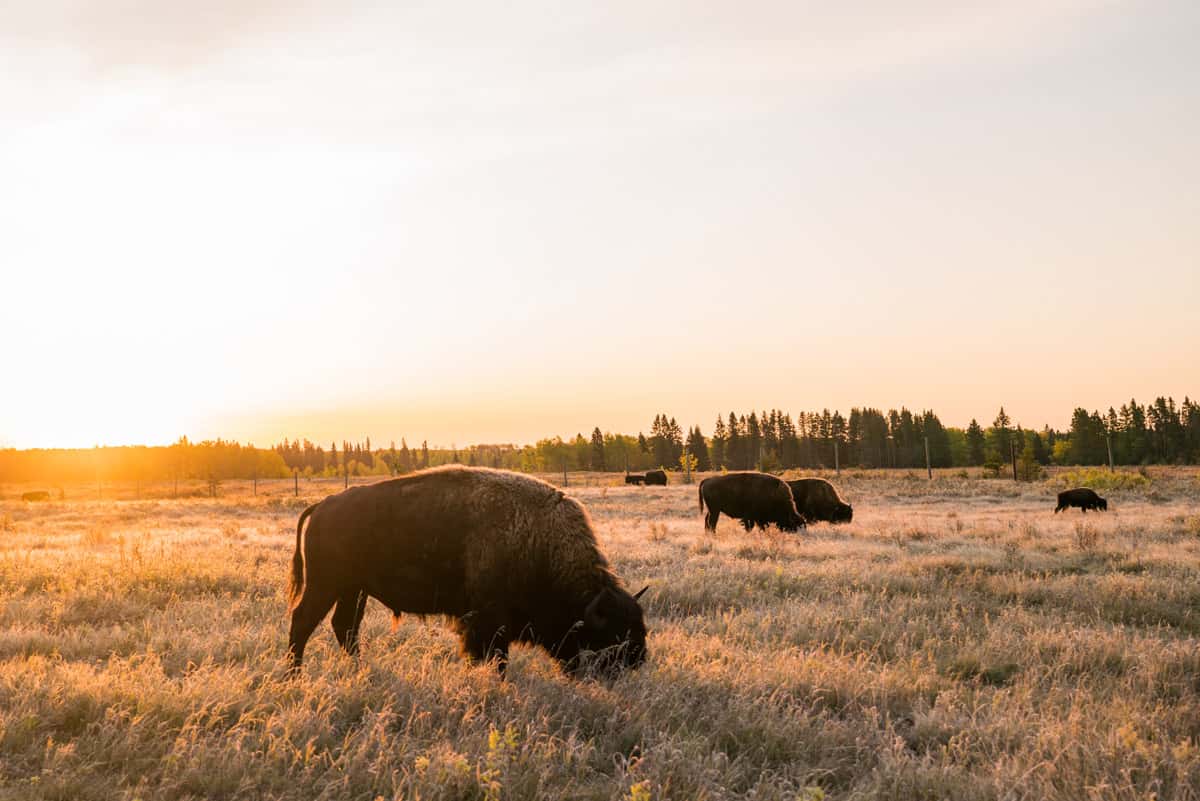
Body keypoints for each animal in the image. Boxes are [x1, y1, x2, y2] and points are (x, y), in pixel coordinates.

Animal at [285, 465, 648, 681]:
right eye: (613, 636)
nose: (638, 660)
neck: (539, 541)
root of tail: (323, 506)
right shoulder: (487, 620)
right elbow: (495, 657)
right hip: (325, 584)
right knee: (303, 620)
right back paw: (294, 675)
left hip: (353, 589)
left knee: (345, 627)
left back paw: (358, 670)